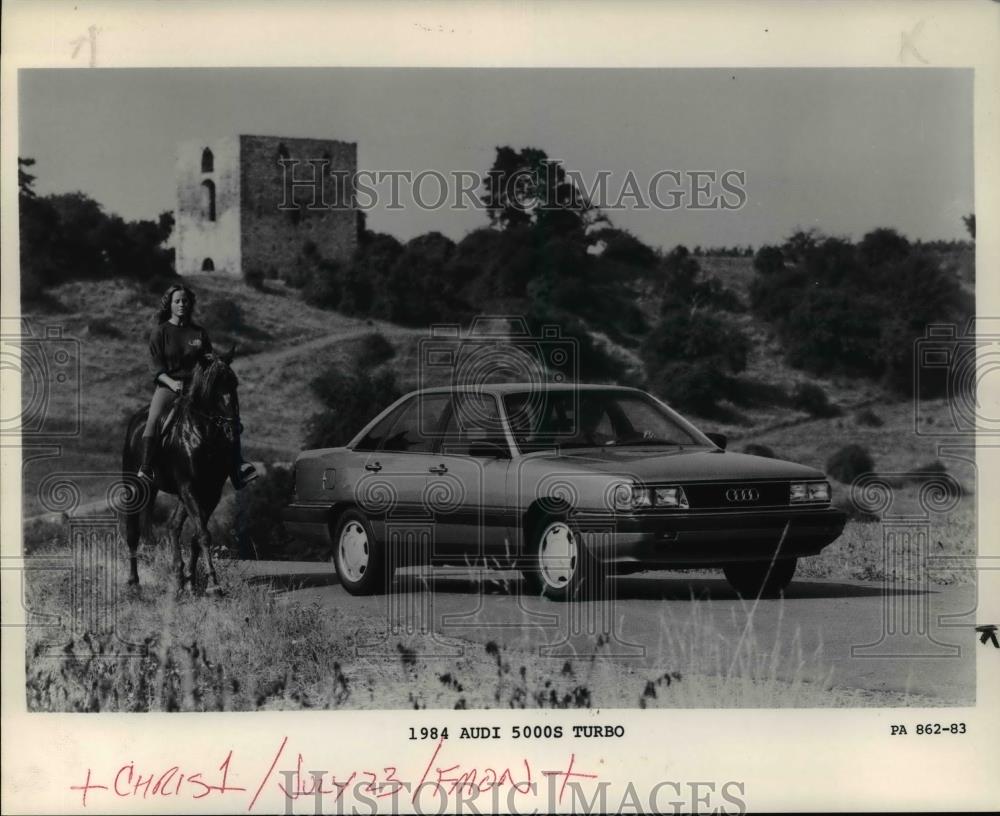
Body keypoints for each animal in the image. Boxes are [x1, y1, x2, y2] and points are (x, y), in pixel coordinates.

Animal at [121, 350, 242, 592]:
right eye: (213, 387)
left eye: (234, 383)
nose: (233, 429)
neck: (203, 436)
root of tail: (135, 424)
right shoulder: (188, 487)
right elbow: (203, 534)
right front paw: (214, 585)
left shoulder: (211, 491)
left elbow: (196, 535)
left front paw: (193, 582)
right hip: (135, 488)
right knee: (133, 533)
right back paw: (134, 582)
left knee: (172, 526)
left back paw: (179, 577)